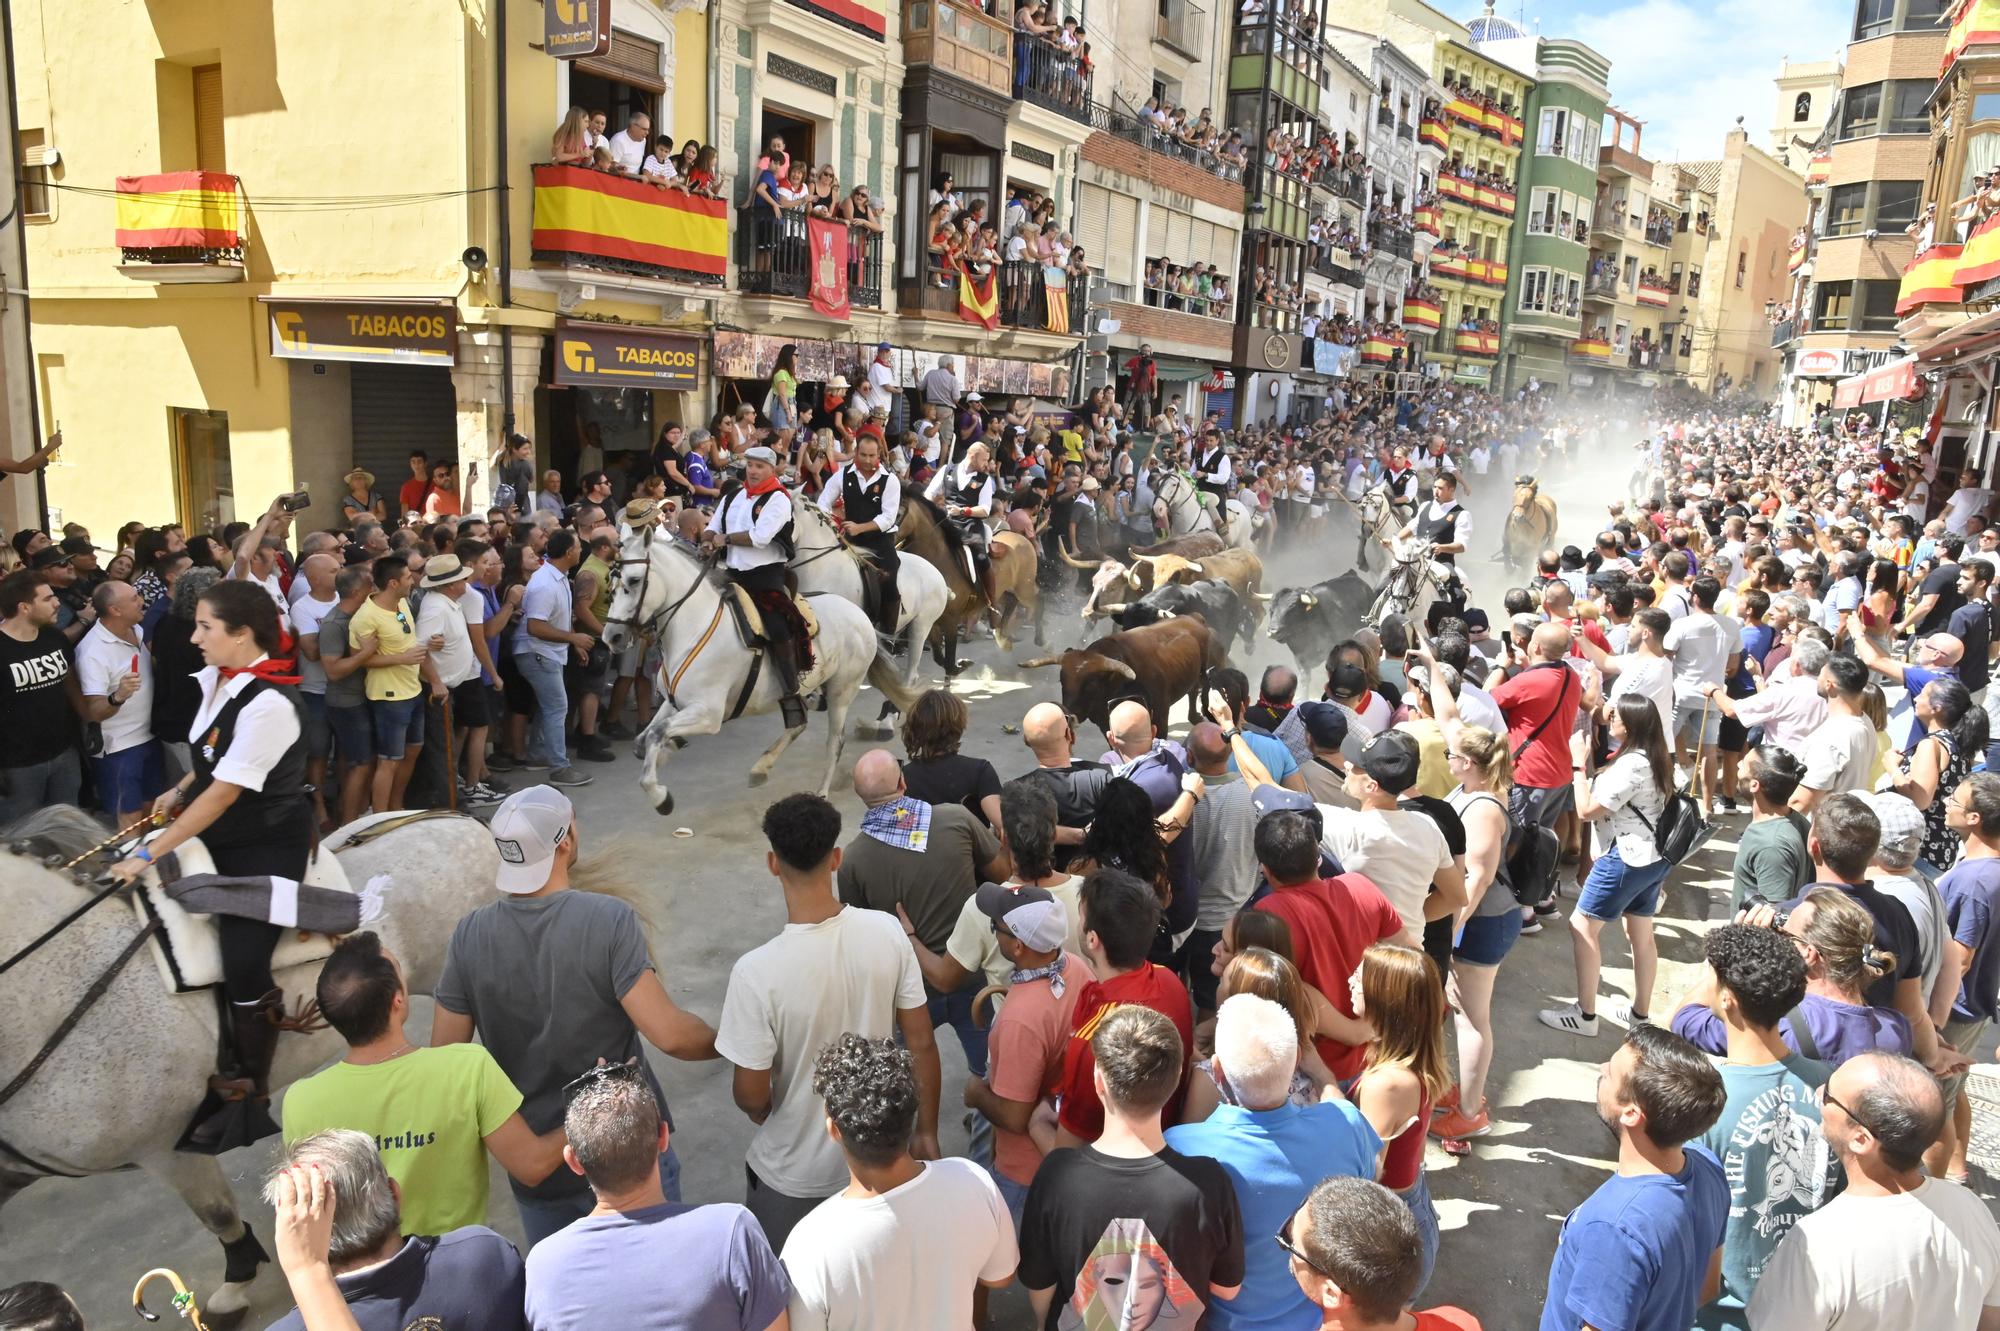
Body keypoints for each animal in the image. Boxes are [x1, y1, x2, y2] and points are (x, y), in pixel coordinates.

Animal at [600, 519, 920, 807]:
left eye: (634, 580)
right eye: (611, 584)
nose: (612, 637)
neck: (695, 625)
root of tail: (859, 614)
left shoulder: (709, 714)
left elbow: (655, 735)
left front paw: (660, 797)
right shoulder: (674, 703)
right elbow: (645, 740)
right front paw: (664, 754)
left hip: (842, 691)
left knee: (834, 742)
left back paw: (821, 793)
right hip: (801, 690)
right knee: (798, 723)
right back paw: (761, 768)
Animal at [896, 491, 1048, 667]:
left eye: (898, 514)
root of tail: (1023, 538)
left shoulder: (949, 616)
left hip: (1024, 587)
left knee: (1038, 598)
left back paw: (1039, 639)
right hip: (1008, 589)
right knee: (1012, 602)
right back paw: (1002, 635)